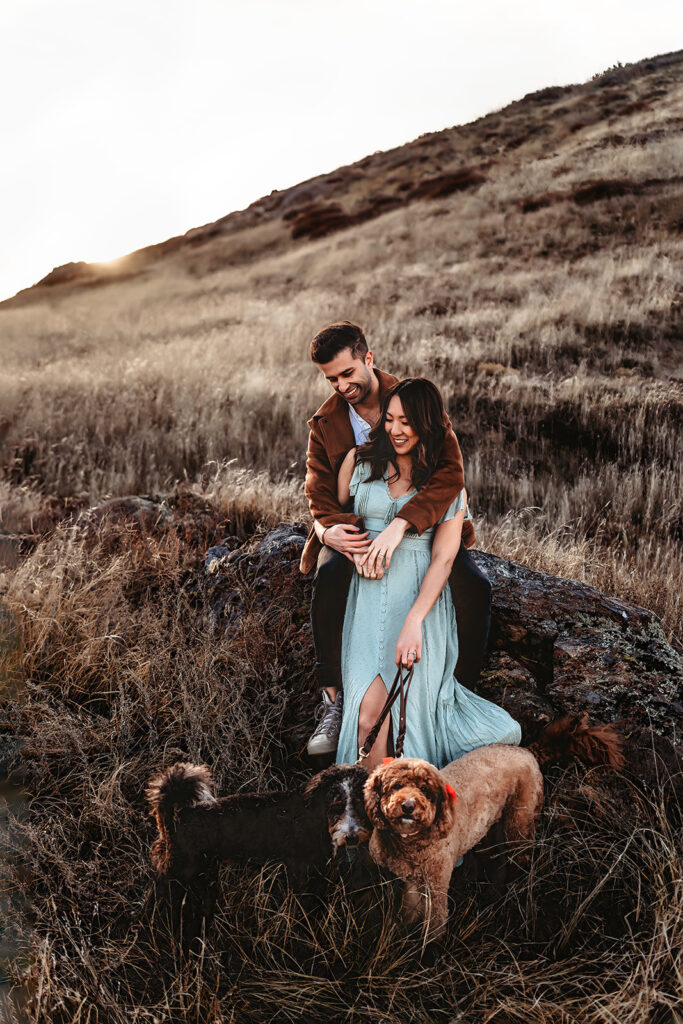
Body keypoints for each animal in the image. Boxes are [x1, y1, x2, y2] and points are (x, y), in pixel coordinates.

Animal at [145, 761, 374, 888]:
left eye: (360, 803)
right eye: (336, 805)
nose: (352, 837)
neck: (316, 815)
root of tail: (177, 816)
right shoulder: (301, 870)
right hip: (180, 871)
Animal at [366, 745, 548, 937]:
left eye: (424, 790)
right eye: (396, 786)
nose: (408, 806)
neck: (410, 842)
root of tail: (525, 753)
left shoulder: (437, 884)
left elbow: (435, 923)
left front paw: (431, 944)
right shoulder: (411, 881)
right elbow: (409, 912)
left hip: (520, 820)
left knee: (521, 857)